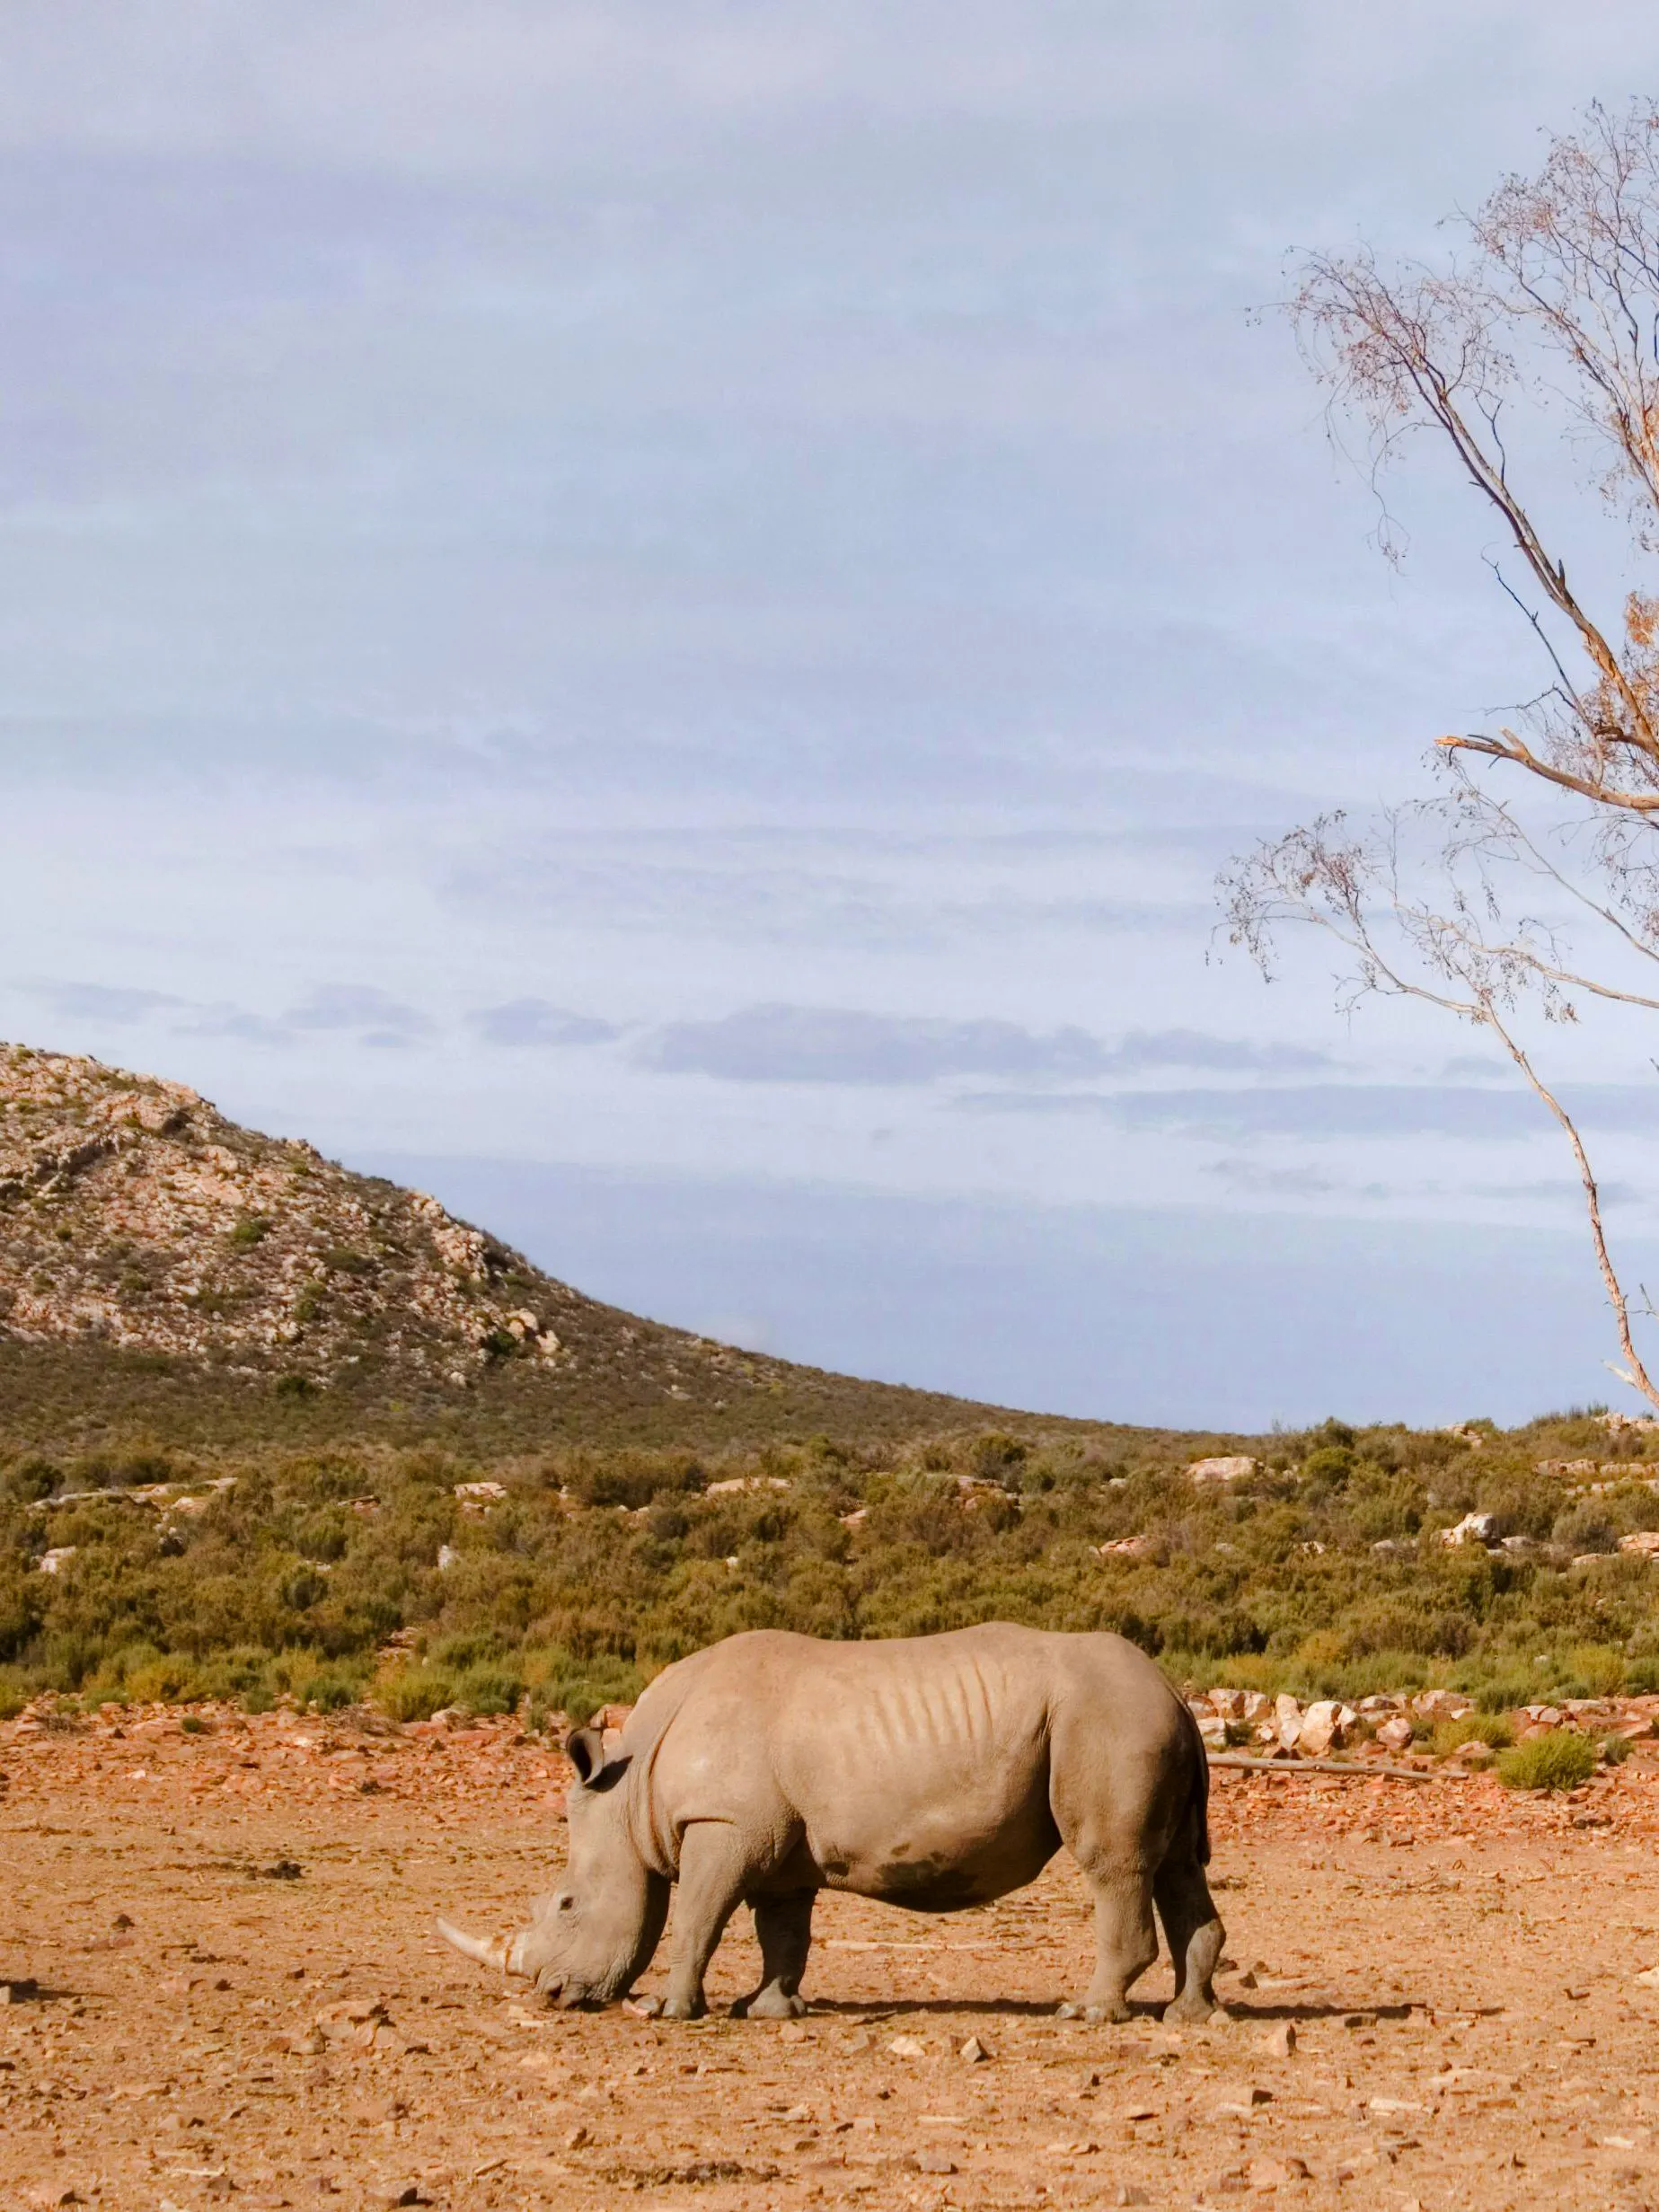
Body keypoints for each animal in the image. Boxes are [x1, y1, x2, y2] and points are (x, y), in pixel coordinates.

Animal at [438, 1622, 1223, 2024]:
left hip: (1107, 1717)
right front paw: (767, 2009)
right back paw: (1189, 2014)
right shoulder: (772, 1841)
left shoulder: (722, 1822)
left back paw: (1085, 2014)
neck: (630, 1794)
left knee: (1113, 1864)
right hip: (1137, 1721)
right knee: (1176, 1864)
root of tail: (1172, 1690)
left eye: (567, 1905)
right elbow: (782, 1929)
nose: (551, 1994)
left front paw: (668, 2008)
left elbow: (696, 1917)